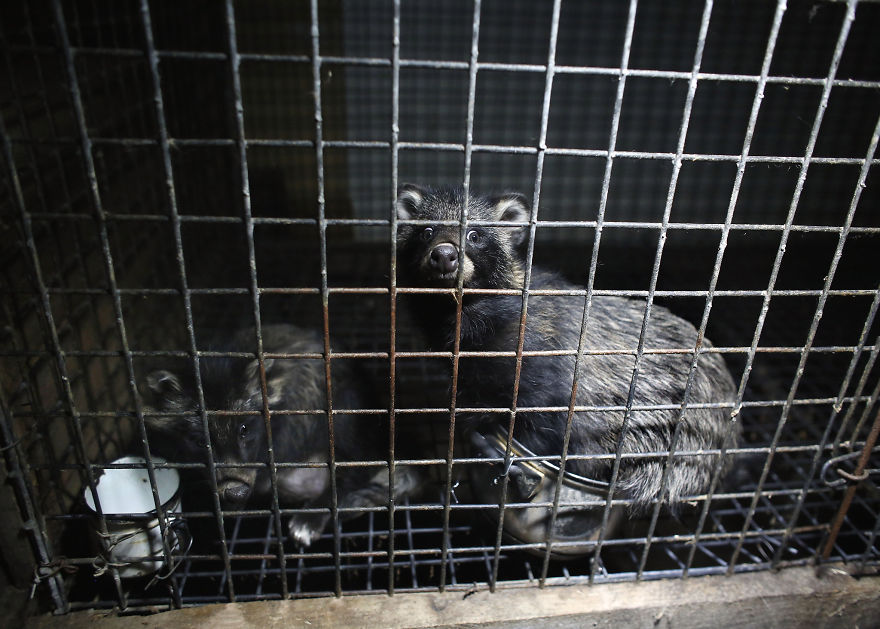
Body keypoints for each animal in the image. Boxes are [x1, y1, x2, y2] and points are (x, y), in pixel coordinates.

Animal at [395, 184, 738, 517]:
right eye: (426, 231)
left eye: (475, 235)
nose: (444, 255)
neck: (460, 312)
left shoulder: (542, 363)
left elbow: (544, 421)